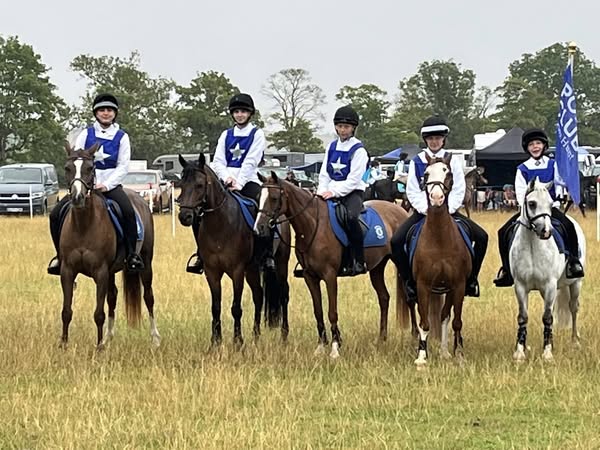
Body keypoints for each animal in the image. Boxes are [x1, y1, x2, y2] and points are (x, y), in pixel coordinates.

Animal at [59, 143, 160, 349]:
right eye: (67, 168)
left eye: (90, 168)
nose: (78, 197)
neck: (83, 225)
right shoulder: (67, 270)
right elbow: (66, 311)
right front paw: (64, 345)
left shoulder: (100, 271)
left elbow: (99, 313)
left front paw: (98, 348)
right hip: (113, 271)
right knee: (113, 297)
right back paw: (108, 338)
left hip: (146, 263)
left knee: (148, 297)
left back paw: (155, 339)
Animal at [176, 154, 291, 346]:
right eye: (181, 184)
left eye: (199, 185)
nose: (184, 216)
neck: (221, 224)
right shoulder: (212, 272)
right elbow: (216, 307)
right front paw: (215, 342)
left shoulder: (237, 271)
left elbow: (236, 308)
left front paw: (238, 342)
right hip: (252, 269)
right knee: (259, 295)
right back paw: (256, 335)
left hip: (280, 264)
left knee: (283, 295)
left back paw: (284, 335)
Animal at [254, 173, 415, 359]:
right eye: (258, 198)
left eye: (273, 198)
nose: (260, 227)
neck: (313, 225)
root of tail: (401, 211)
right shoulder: (310, 277)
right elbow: (318, 311)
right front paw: (321, 346)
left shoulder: (330, 276)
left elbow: (332, 312)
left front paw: (335, 347)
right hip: (377, 267)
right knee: (384, 298)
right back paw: (381, 339)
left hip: (401, 264)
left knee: (410, 298)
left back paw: (414, 336)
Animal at [412, 154, 472, 367]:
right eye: (426, 174)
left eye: (449, 174)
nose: (436, 198)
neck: (439, 239)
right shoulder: (422, 285)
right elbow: (424, 322)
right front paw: (421, 357)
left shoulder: (458, 284)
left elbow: (456, 321)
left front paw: (459, 354)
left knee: (445, 315)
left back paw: (445, 351)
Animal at [509, 178, 585, 362]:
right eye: (532, 203)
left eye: (551, 204)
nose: (546, 231)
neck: (532, 245)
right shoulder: (520, 286)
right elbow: (523, 317)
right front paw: (520, 352)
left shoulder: (550, 286)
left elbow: (547, 317)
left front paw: (547, 353)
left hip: (576, 284)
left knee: (573, 308)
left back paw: (575, 341)